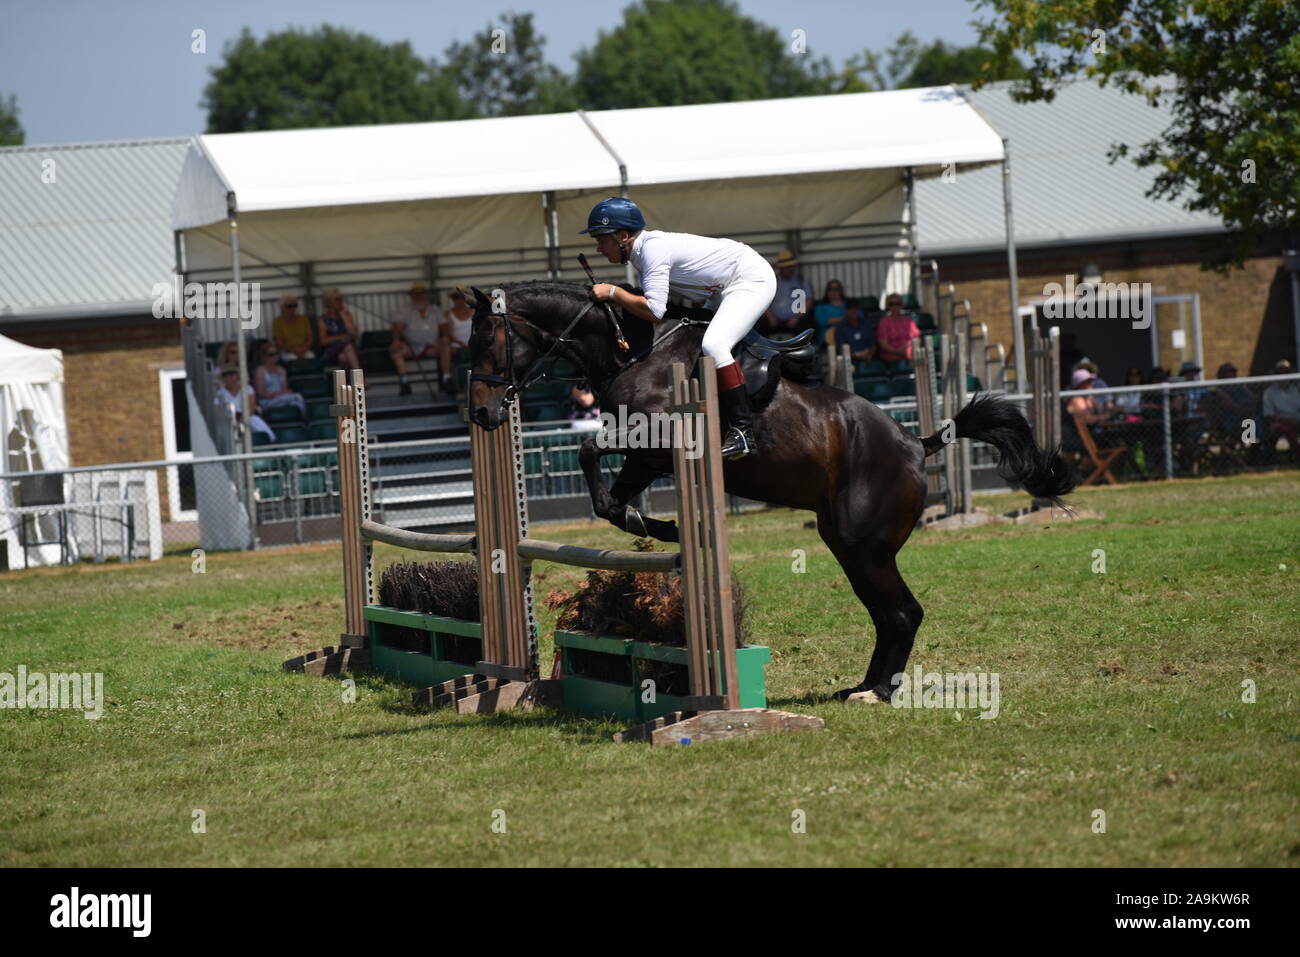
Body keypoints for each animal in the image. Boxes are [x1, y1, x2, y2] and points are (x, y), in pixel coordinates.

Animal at [470, 280, 1076, 696]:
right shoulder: (646, 459)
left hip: (867, 544)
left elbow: (590, 451)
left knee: (903, 613)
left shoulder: (656, 442)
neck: (632, 349)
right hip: (847, 544)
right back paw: (861, 687)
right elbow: (608, 499)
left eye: (487, 340)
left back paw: (878, 692)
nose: (479, 414)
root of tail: (916, 443)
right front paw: (660, 528)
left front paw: (665, 527)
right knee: (887, 614)